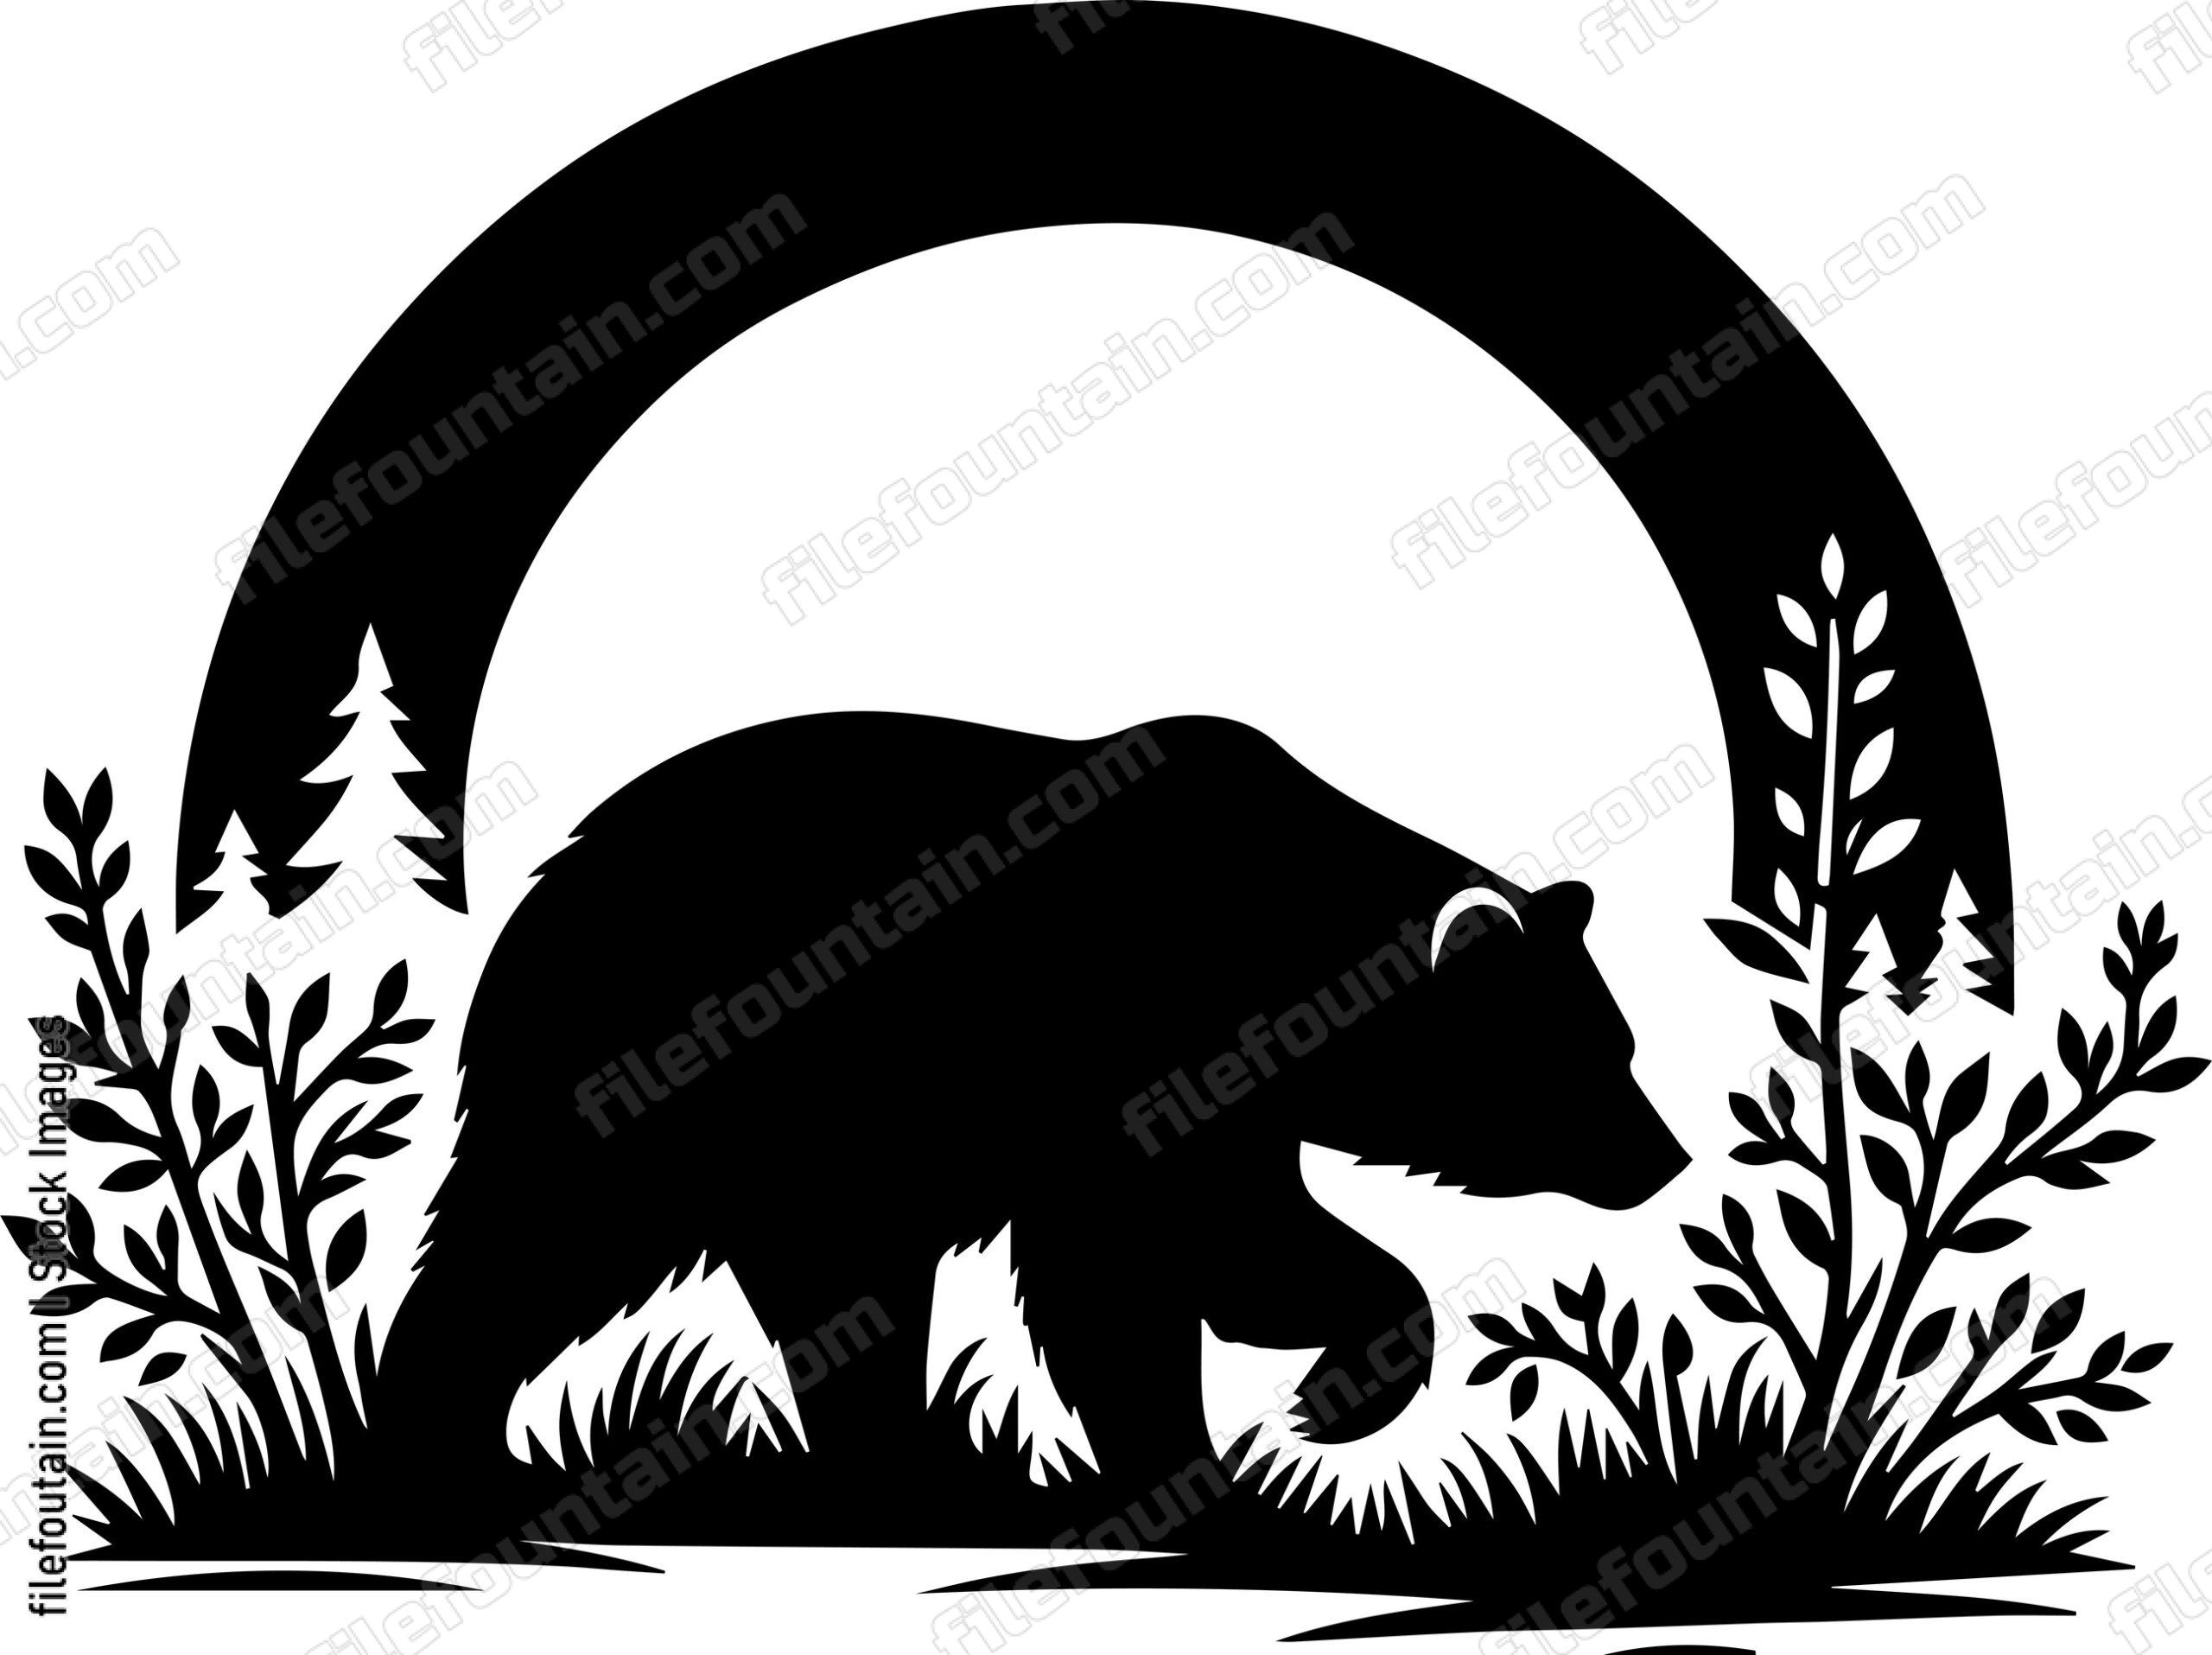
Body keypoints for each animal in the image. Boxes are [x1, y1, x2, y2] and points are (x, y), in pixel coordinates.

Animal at [373, 712, 1687, 1536]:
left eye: (1623, 1042)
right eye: (1589, 1056)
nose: (1668, 1158)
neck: (1275, 937)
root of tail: (539, 897)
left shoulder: (1227, 1098)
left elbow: (1237, 1242)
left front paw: (1269, 1423)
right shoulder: (1114, 1055)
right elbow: (1144, 1264)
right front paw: (1259, 1434)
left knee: (836, 1289)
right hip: (681, 1079)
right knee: (540, 1238)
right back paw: (445, 1451)